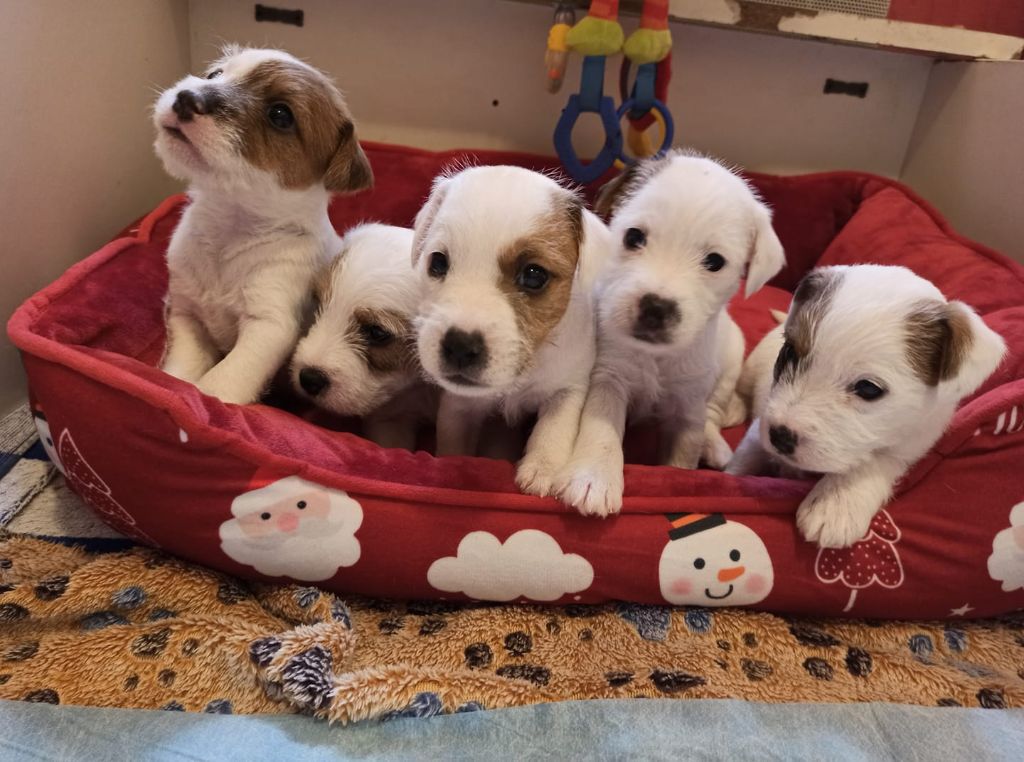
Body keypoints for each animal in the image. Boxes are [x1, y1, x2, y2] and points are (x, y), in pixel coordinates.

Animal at [151, 46, 372, 405]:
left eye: (280, 115)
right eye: (215, 75)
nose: (186, 97)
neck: (229, 229)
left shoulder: (268, 325)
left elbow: (221, 383)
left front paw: (210, 397)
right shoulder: (186, 312)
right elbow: (181, 369)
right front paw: (174, 384)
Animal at [409, 164, 610, 493]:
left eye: (534, 275)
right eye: (437, 262)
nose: (459, 346)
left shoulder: (568, 387)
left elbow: (553, 431)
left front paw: (542, 470)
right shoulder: (459, 406)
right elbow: (453, 444)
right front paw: (452, 464)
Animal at [552, 148, 782, 518]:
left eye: (715, 262)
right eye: (633, 237)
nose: (656, 308)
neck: (655, 357)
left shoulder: (688, 402)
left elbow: (684, 451)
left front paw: (679, 474)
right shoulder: (609, 378)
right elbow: (601, 430)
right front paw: (594, 478)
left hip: (730, 362)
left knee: (713, 412)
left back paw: (715, 444)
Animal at [729, 264, 1007, 548]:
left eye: (868, 388)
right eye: (789, 353)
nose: (779, 436)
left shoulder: (911, 446)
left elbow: (876, 459)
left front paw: (835, 502)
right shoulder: (760, 426)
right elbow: (744, 459)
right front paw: (728, 478)